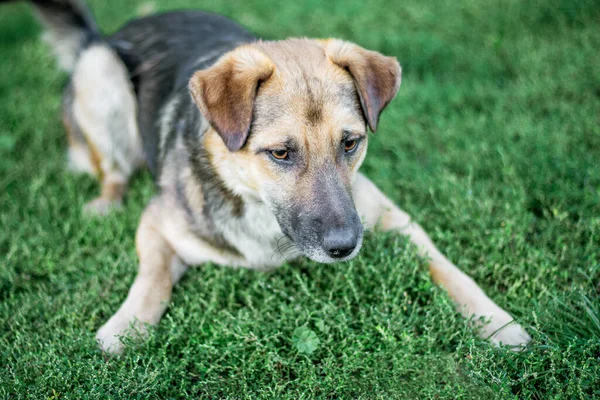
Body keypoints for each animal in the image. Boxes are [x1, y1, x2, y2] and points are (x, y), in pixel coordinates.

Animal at [18, 0, 532, 352]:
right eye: (281, 153)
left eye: (350, 142)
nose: (346, 247)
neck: (260, 211)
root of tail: (110, 32)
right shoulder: (158, 224)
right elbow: (152, 279)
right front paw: (124, 329)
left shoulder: (391, 217)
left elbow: (448, 268)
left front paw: (496, 321)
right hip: (99, 70)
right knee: (112, 170)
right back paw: (106, 203)